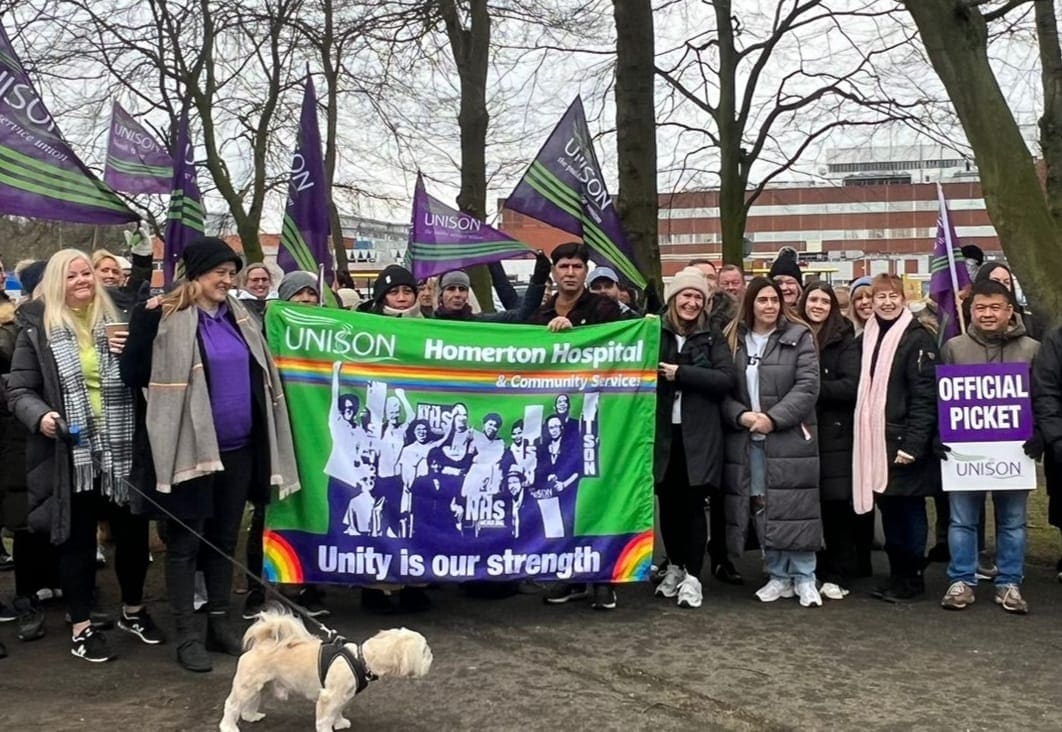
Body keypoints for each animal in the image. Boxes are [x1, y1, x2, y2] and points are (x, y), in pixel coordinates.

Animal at [217, 603, 433, 730]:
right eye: (424, 651)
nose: (431, 655)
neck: (361, 659)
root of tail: (263, 644)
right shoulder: (329, 698)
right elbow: (324, 719)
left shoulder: (343, 697)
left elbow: (337, 712)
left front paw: (340, 723)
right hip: (246, 686)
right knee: (231, 706)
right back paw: (228, 726)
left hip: (258, 686)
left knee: (248, 704)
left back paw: (251, 716)